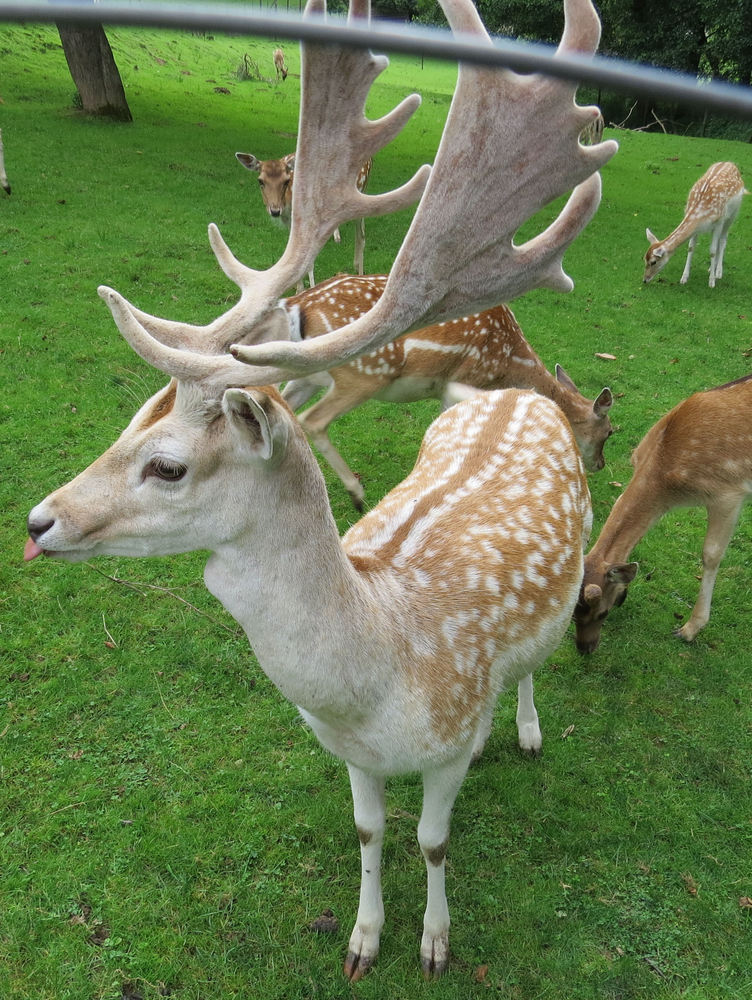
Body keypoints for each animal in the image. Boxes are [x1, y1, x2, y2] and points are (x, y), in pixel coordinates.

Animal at [26, 0, 620, 984]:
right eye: (125, 428)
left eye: (168, 464)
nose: (39, 520)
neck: (375, 679)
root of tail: (515, 396)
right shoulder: (350, 756)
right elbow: (370, 833)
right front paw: (363, 940)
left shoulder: (448, 747)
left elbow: (432, 841)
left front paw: (434, 943)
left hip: (571, 560)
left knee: (536, 657)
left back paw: (528, 727)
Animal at [572, 372, 752, 652]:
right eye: (572, 615)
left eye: (602, 612)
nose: (584, 649)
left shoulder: (729, 493)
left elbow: (710, 555)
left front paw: (689, 629)